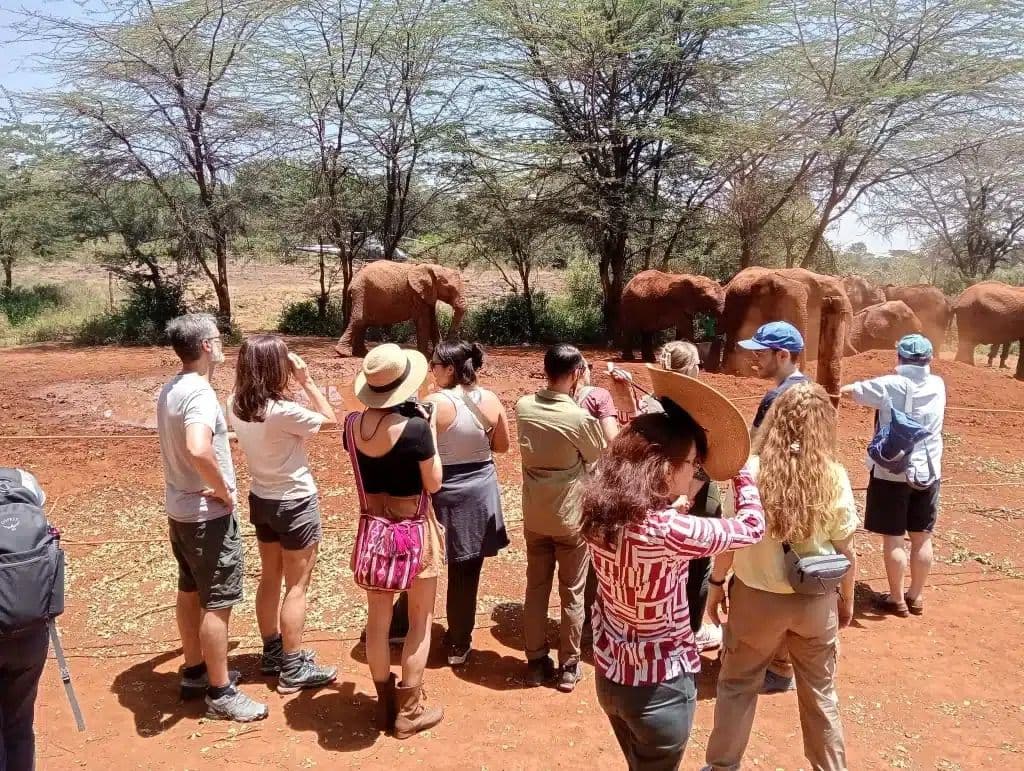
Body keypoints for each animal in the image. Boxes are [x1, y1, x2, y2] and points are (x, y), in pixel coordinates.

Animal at [335, 261, 466, 358]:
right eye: (449, 289)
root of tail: (352, 282)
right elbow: (424, 321)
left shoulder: (428, 293)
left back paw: (362, 353)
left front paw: (436, 354)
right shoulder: (417, 294)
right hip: (361, 292)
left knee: (363, 323)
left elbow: (433, 321)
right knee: (359, 320)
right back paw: (343, 353)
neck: (430, 267)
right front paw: (425, 355)